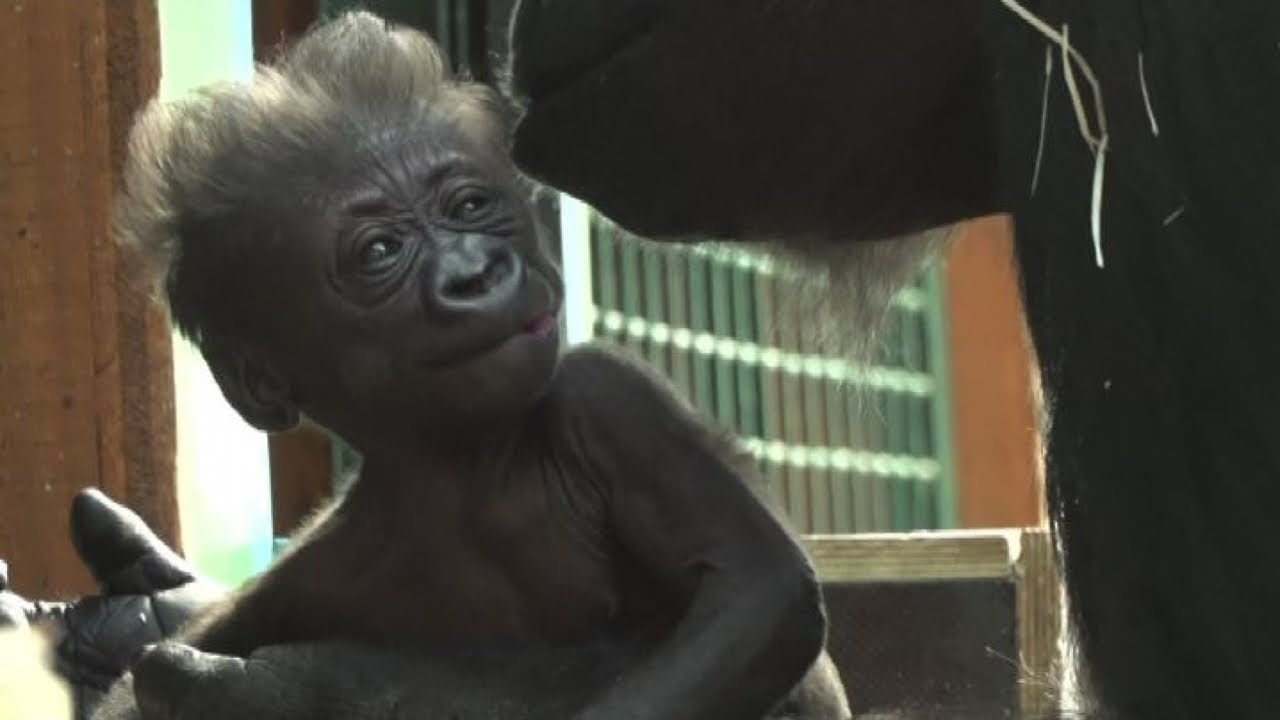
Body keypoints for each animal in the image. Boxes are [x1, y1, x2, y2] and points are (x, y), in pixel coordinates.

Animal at [92, 11, 851, 720]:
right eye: (379, 251)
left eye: (469, 206)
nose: (474, 273)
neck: (452, 458)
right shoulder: (315, 568)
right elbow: (160, 673)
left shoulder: (607, 395)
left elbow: (758, 587)